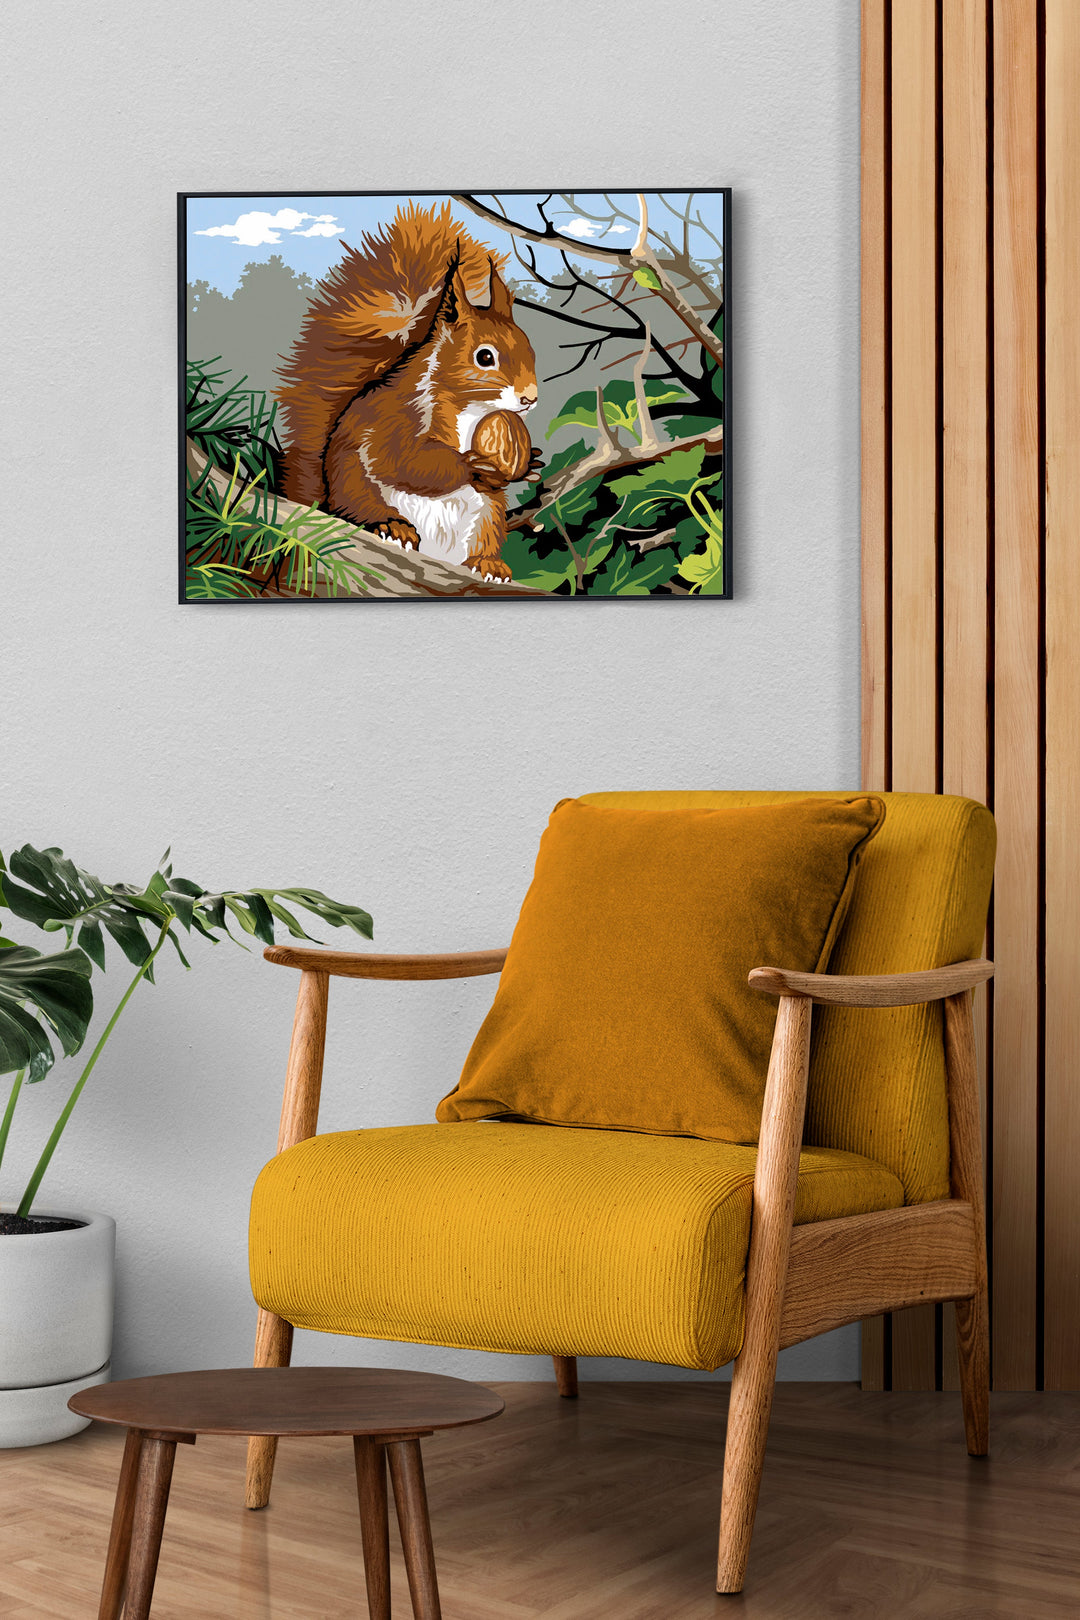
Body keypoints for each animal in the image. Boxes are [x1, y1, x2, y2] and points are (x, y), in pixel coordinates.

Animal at [275, 201, 540, 582]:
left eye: (531, 349)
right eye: (485, 357)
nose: (530, 398)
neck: (471, 410)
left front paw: (531, 463)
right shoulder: (395, 416)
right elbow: (403, 460)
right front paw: (469, 464)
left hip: (488, 516)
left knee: (484, 537)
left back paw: (488, 563)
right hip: (356, 487)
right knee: (362, 507)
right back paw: (393, 527)